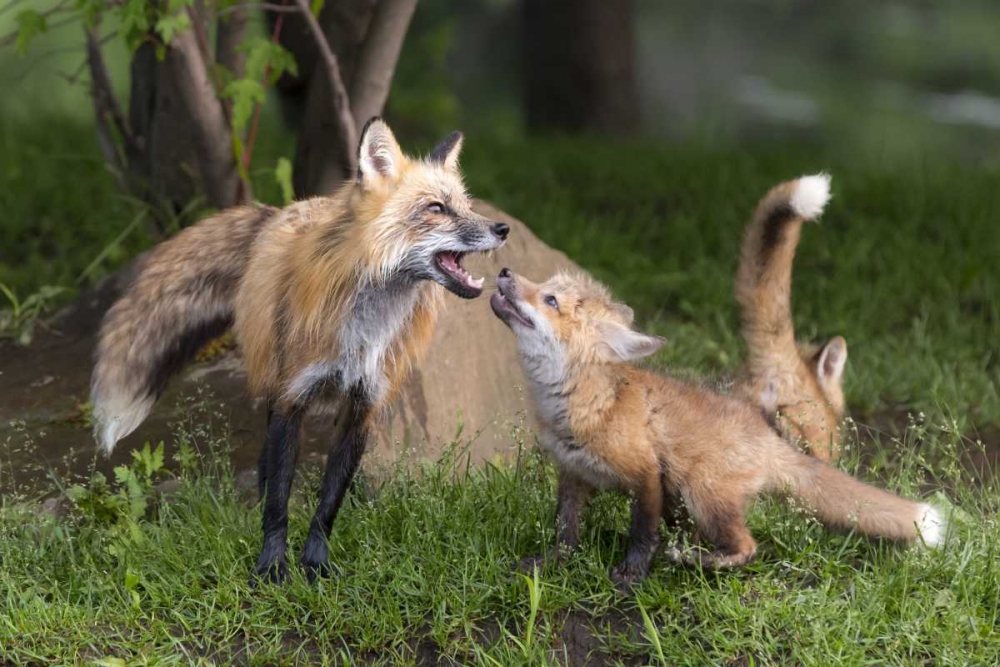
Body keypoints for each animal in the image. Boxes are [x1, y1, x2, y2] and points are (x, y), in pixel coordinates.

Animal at [93, 120, 508, 584]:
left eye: (466, 205)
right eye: (436, 208)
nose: (501, 229)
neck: (363, 331)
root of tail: (280, 211)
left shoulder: (362, 407)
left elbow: (329, 502)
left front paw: (317, 562)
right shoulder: (291, 398)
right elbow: (279, 498)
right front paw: (272, 565)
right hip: (273, 386)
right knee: (265, 466)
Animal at [492, 268, 944, 588]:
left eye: (550, 299)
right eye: (543, 285)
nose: (505, 272)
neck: (590, 405)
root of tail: (768, 436)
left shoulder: (647, 474)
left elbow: (641, 534)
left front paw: (632, 576)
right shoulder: (572, 473)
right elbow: (565, 531)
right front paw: (551, 563)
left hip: (700, 490)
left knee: (749, 548)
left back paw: (697, 560)